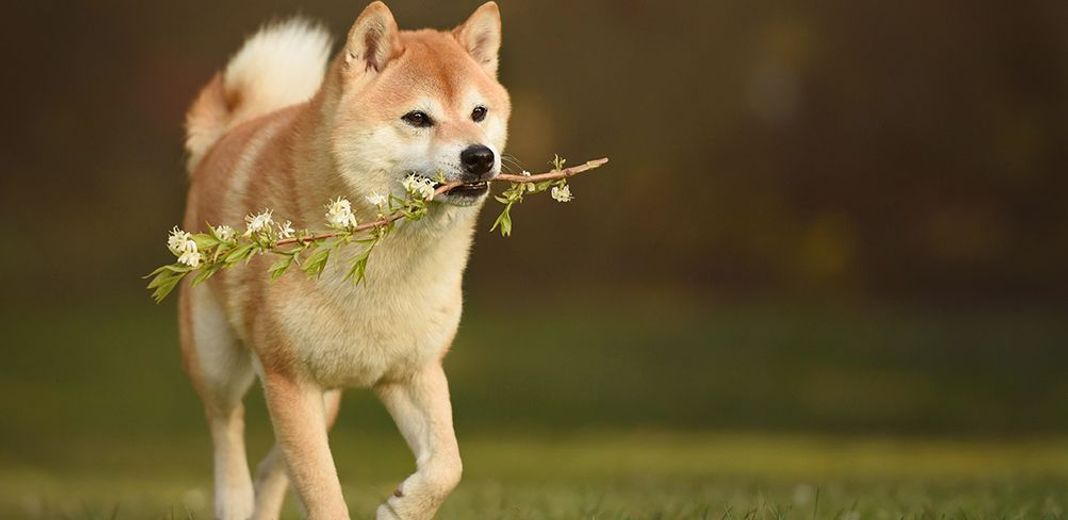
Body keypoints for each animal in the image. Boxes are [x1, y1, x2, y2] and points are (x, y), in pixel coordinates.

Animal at [175, 2, 508, 518]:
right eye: (418, 117)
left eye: (478, 112)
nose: (480, 156)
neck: (385, 257)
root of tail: (226, 134)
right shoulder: (289, 379)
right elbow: (323, 490)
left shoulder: (413, 371)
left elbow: (447, 465)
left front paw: (403, 505)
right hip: (218, 362)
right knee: (226, 427)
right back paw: (234, 499)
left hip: (326, 395)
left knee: (273, 465)